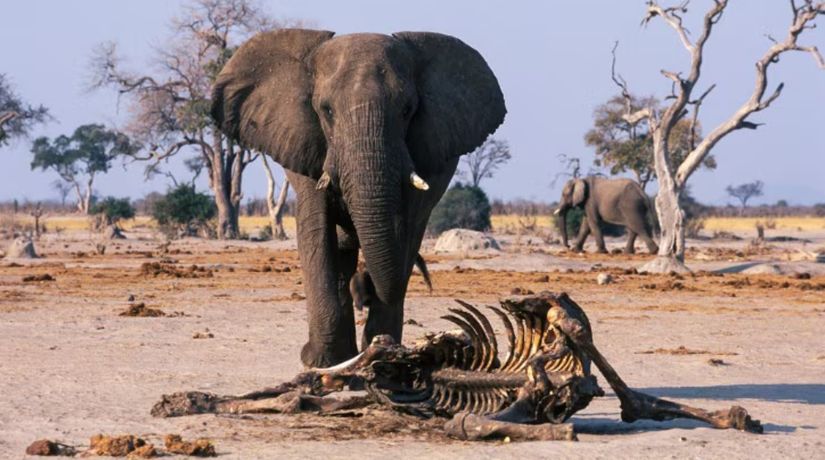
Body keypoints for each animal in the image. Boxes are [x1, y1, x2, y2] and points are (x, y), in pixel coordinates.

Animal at [209, 28, 506, 366]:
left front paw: (383, 351)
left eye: (407, 110)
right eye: (326, 110)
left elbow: (406, 232)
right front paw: (320, 361)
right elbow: (317, 232)